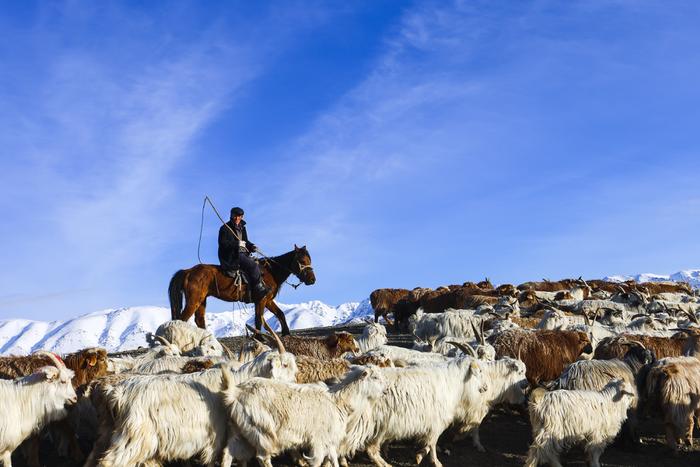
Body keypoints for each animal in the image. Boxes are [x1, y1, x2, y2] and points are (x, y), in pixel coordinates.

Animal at [168, 247, 316, 334]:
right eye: (302, 260)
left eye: (310, 259)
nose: (312, 280)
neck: (271, 272)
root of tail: (188, 271)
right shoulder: (261, 300)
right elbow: (258, 320)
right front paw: (259, 338)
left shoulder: (267, 300)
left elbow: (280, 314)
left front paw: (286, 332)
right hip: (193, 301)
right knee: (182, 320)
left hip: (201, 300)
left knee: (200, 320)